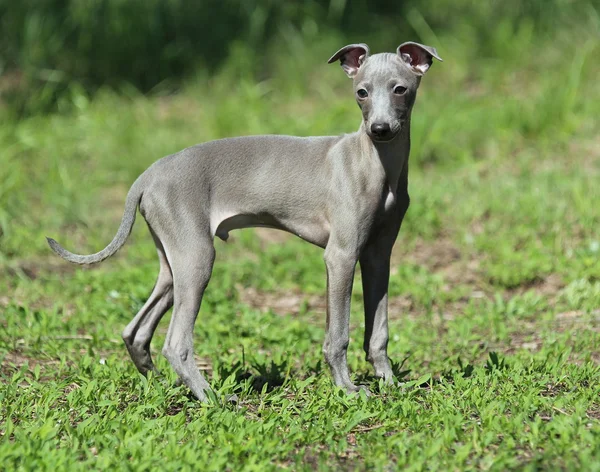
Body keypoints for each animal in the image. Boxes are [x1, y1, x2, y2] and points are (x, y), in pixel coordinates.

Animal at [48, 42, 440, 400]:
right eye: (361, 92)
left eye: (400, 89)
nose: (380, 129)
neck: (374, 163)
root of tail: (147, 175)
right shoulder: (341, 255)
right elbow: (338, 334)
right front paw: (348, 388)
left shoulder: (378, 255)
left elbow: (379, 330)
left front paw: (390, 382)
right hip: (197, 259)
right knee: (175, 343)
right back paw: (211, 397)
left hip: (173, 262)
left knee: (136, 331)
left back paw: (164, 385)